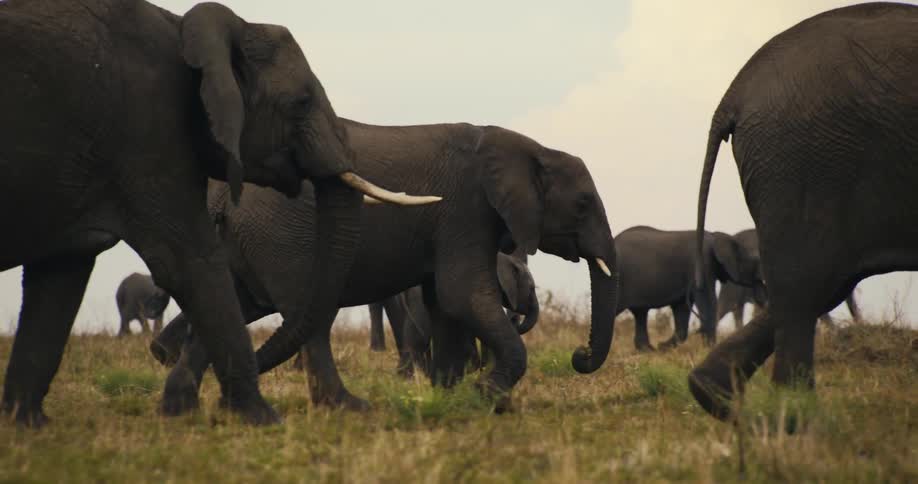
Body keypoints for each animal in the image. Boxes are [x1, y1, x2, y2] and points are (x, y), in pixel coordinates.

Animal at [0, 0, 436, 427]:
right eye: (301, 102)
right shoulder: (151, 134)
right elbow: (189, 260)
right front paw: (261, 418)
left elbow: (62, 273)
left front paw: (28, 424)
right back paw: (346, 406)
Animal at [361, 251, 539, 380]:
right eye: (531, 288)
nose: (514, 319)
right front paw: (475, 368)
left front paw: (475, 368)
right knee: (419, 337)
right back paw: (410, 377)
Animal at [613, 226, 760, 351]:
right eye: (752, 262)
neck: (716, 236)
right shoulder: (703, 264)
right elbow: (708, 302)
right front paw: (708, 350)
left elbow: (682, 308)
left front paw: (663, 347)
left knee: (640, 313)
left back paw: (649, 351)